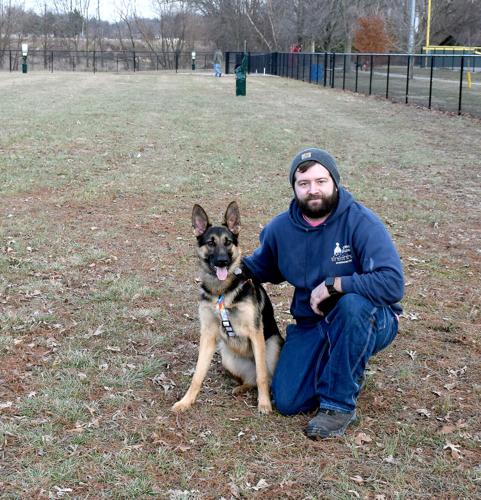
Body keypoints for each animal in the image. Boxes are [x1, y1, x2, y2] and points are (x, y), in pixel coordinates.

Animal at [172, 201, 284, 416]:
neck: (222, 290)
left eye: (228, 242)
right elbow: (198, 374)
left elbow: (262, 376)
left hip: (272, 346)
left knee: (265, 376)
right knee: (251, 380)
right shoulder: (207, 334)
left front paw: (264, 404)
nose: (222, 261)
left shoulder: (255, 333)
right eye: (211, 243)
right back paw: (241, 388)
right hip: (226, 357)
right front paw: (186, 401)